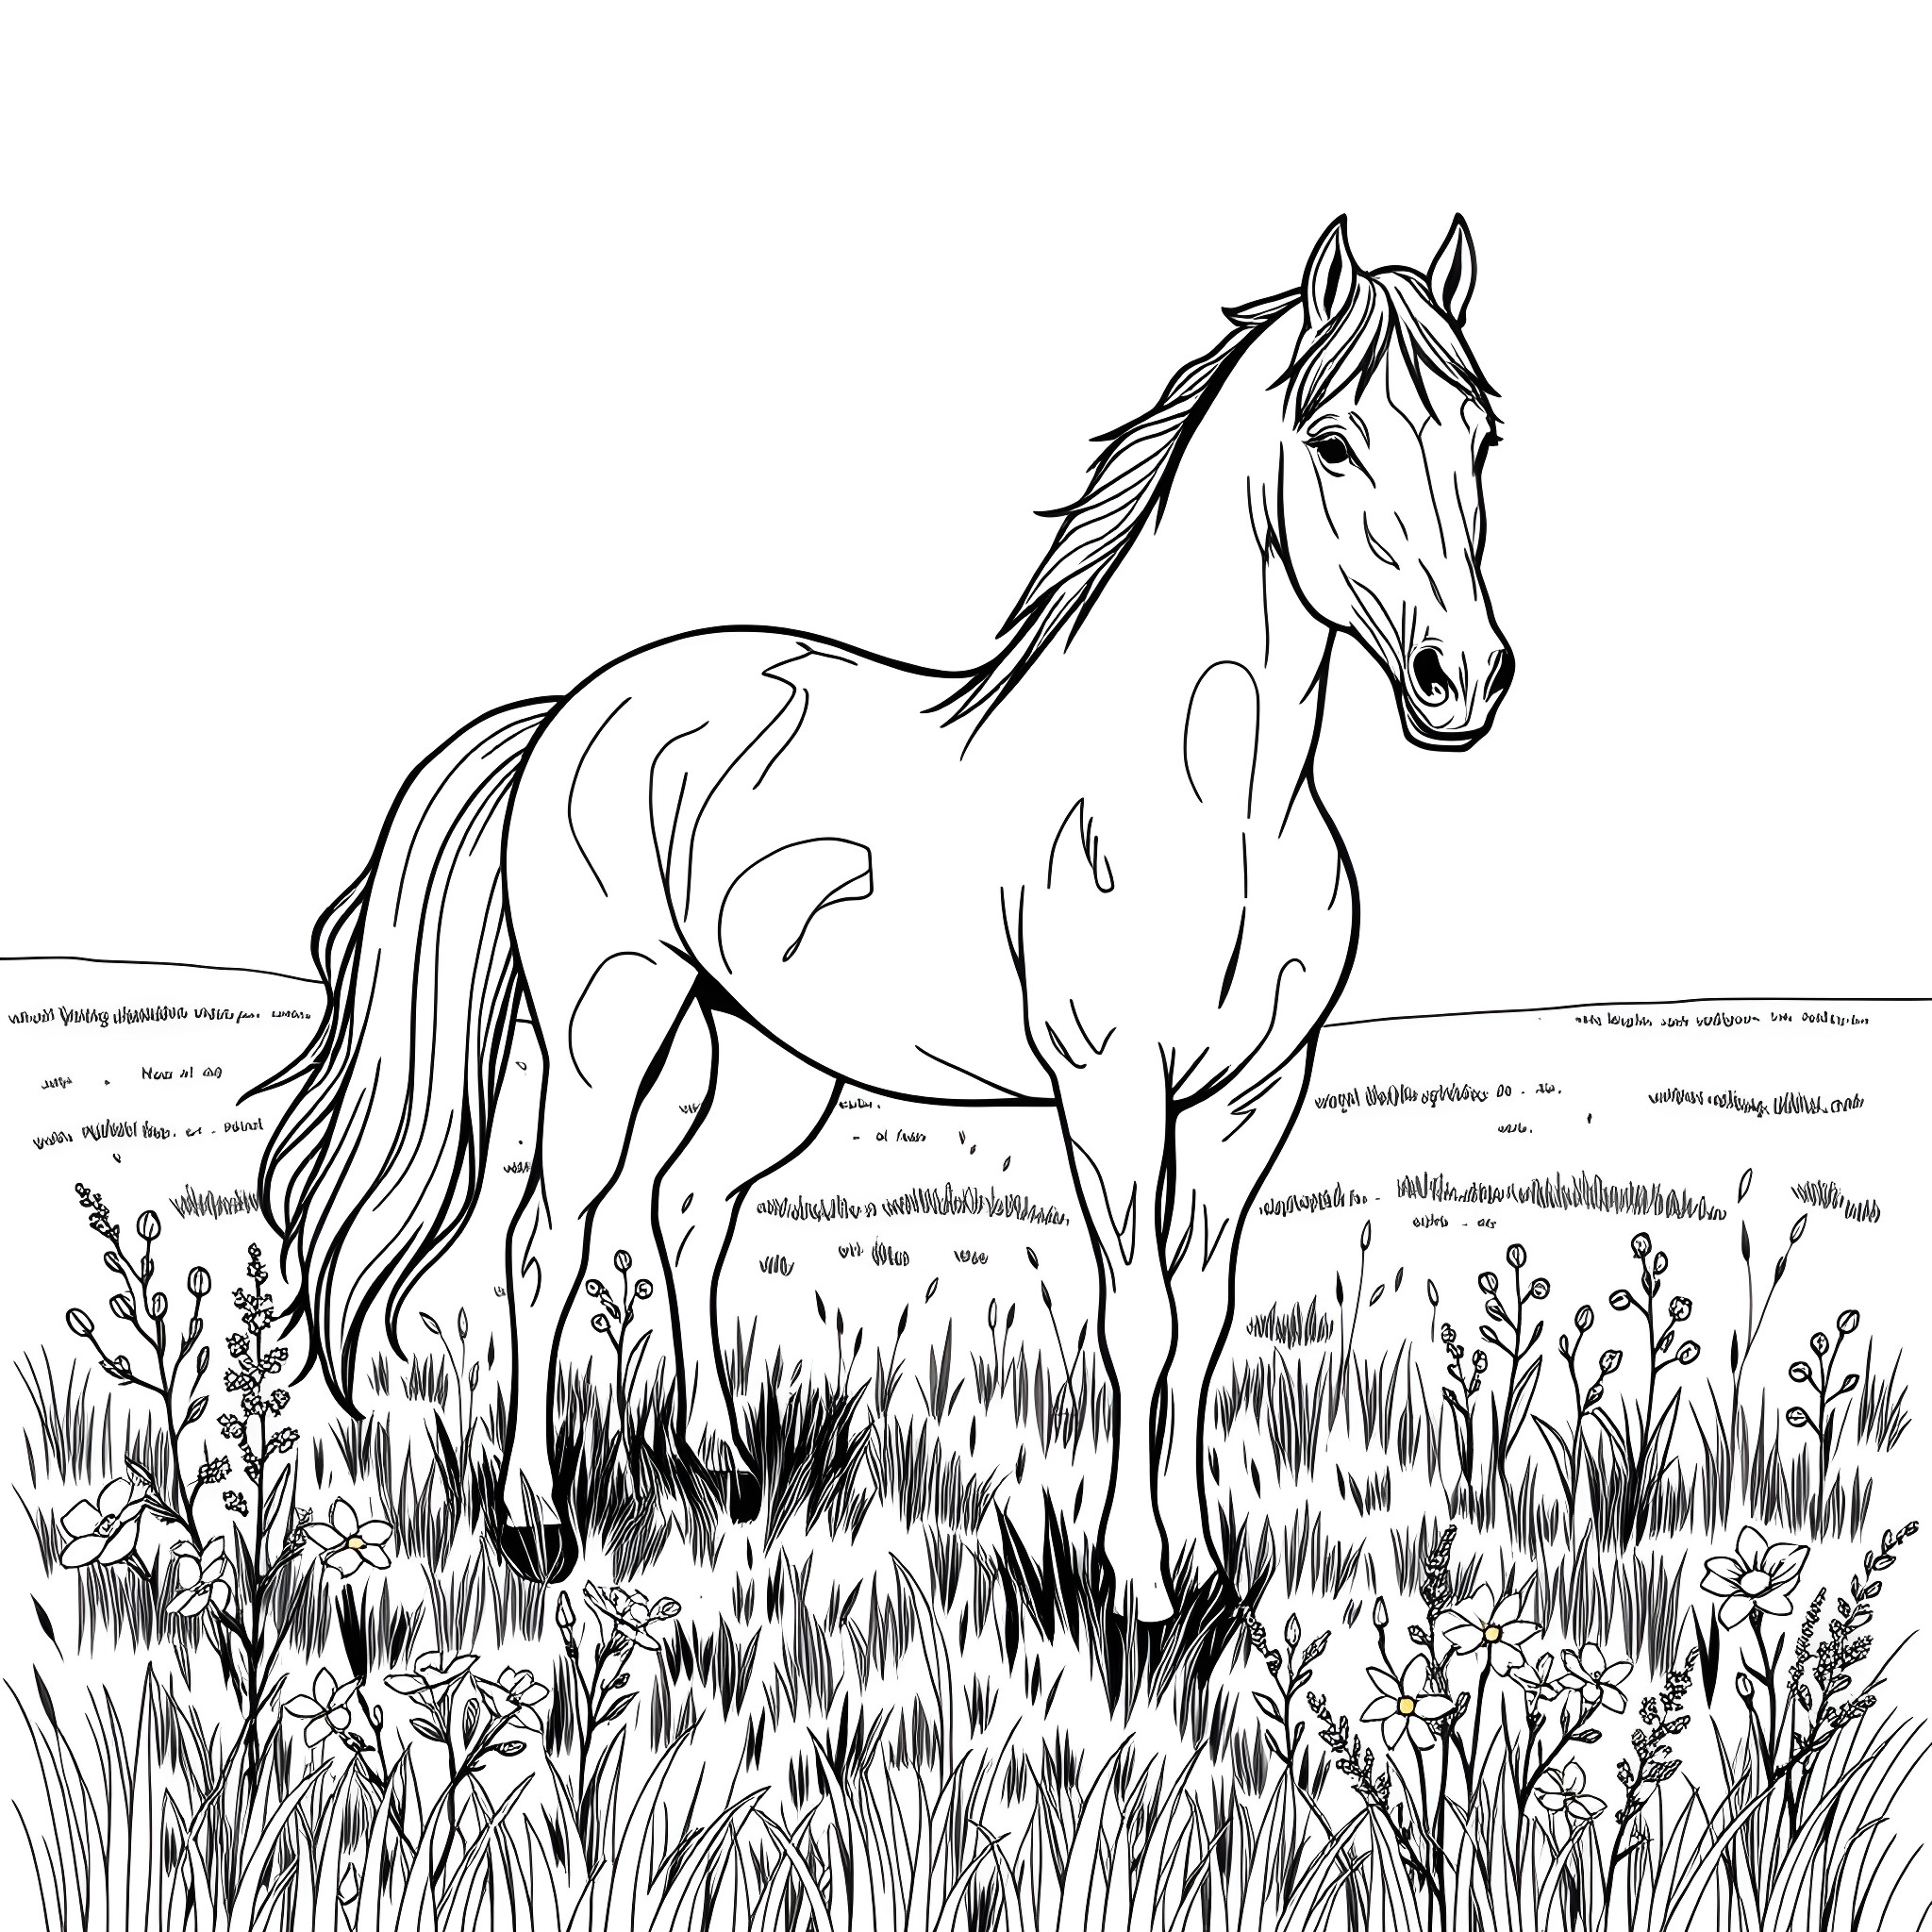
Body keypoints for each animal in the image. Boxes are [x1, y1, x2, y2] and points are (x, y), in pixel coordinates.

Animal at [256, 214, 1513, 1621]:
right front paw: (1136, 1590)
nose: (1463, 679)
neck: (1215, 804)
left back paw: (725, 1468)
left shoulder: (1253, 1098)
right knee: (545, 1244)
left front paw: (1210, 1574)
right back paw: (536, 1524)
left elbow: (1204, 1321)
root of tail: (568, 713)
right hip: (603, 1032)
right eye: (1333, 440)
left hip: (773, 1057)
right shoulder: (1111, 1088)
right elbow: (1138, 1321)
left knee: (688, 1210)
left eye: (1481, 438)